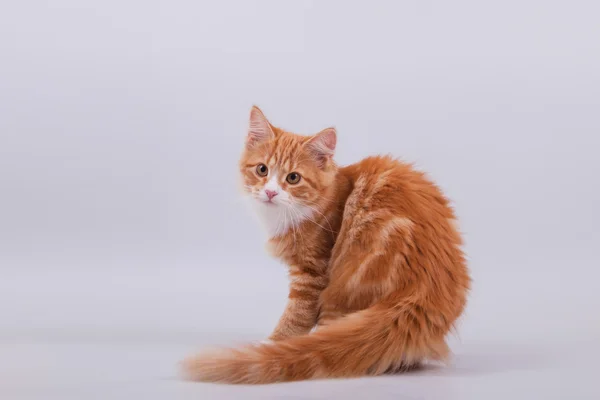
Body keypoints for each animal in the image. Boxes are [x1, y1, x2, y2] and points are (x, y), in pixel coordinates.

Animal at [180, 106, 472, 384]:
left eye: (293, 178)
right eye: (262, 170)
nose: (271, 192)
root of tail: (422, 293)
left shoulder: (312, 273)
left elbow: (296, 315)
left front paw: (273, 343)